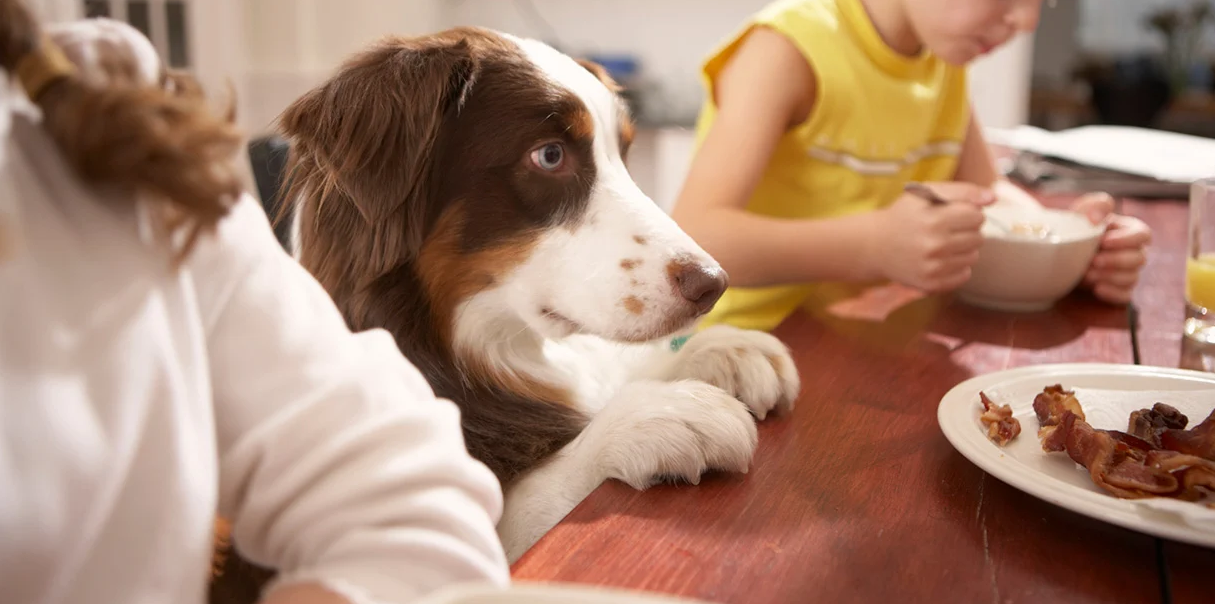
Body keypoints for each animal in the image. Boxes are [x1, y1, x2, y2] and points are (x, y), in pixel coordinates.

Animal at [279, 24, 801, 561]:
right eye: (550, 155)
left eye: (623, 155)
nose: (713, 283)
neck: (464, 348)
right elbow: (532, 493)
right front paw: (662, 414)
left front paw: (722, 349)